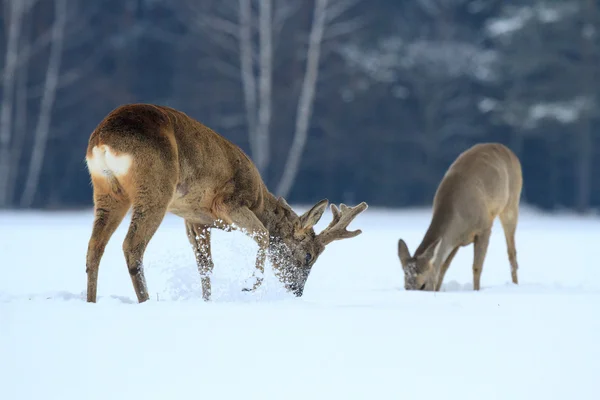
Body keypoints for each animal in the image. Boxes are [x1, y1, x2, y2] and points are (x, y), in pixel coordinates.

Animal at [84, 103, 366, 304]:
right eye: (309, 256)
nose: (297, 290)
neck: (261, 201)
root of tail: (103, 141)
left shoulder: (195, 219)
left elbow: (205, 266)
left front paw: (207, 301)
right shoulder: (229, 202)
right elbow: (263, 234)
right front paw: (249, 285)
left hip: (106, 191)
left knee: (95, 246)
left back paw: (91, 301)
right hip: (155, 185)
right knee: (132, 245)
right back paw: (145, 301)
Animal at [398, 143, 520, 290]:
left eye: (423, 285)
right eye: (406, 287)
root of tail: (505, 148)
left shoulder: (484, 226)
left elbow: (477, 267)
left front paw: (476, 290)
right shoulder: (455, 239)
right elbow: (443, 268)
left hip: (511, 204)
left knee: (512, 252)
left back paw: (515, 284)